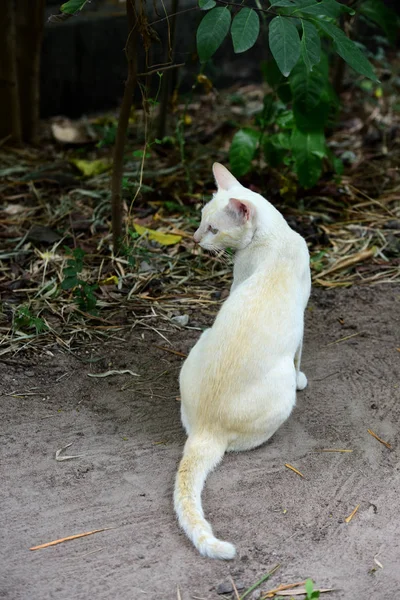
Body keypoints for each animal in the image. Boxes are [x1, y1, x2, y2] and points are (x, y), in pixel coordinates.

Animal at [173, 163, 310, 556]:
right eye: (201, 222)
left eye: (213, 228)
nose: (194, 239)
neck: (274, 236)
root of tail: (206, 429)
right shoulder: (302, 321)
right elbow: (300, 356)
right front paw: (304, 379)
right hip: (281, 392)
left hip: (201, 341)